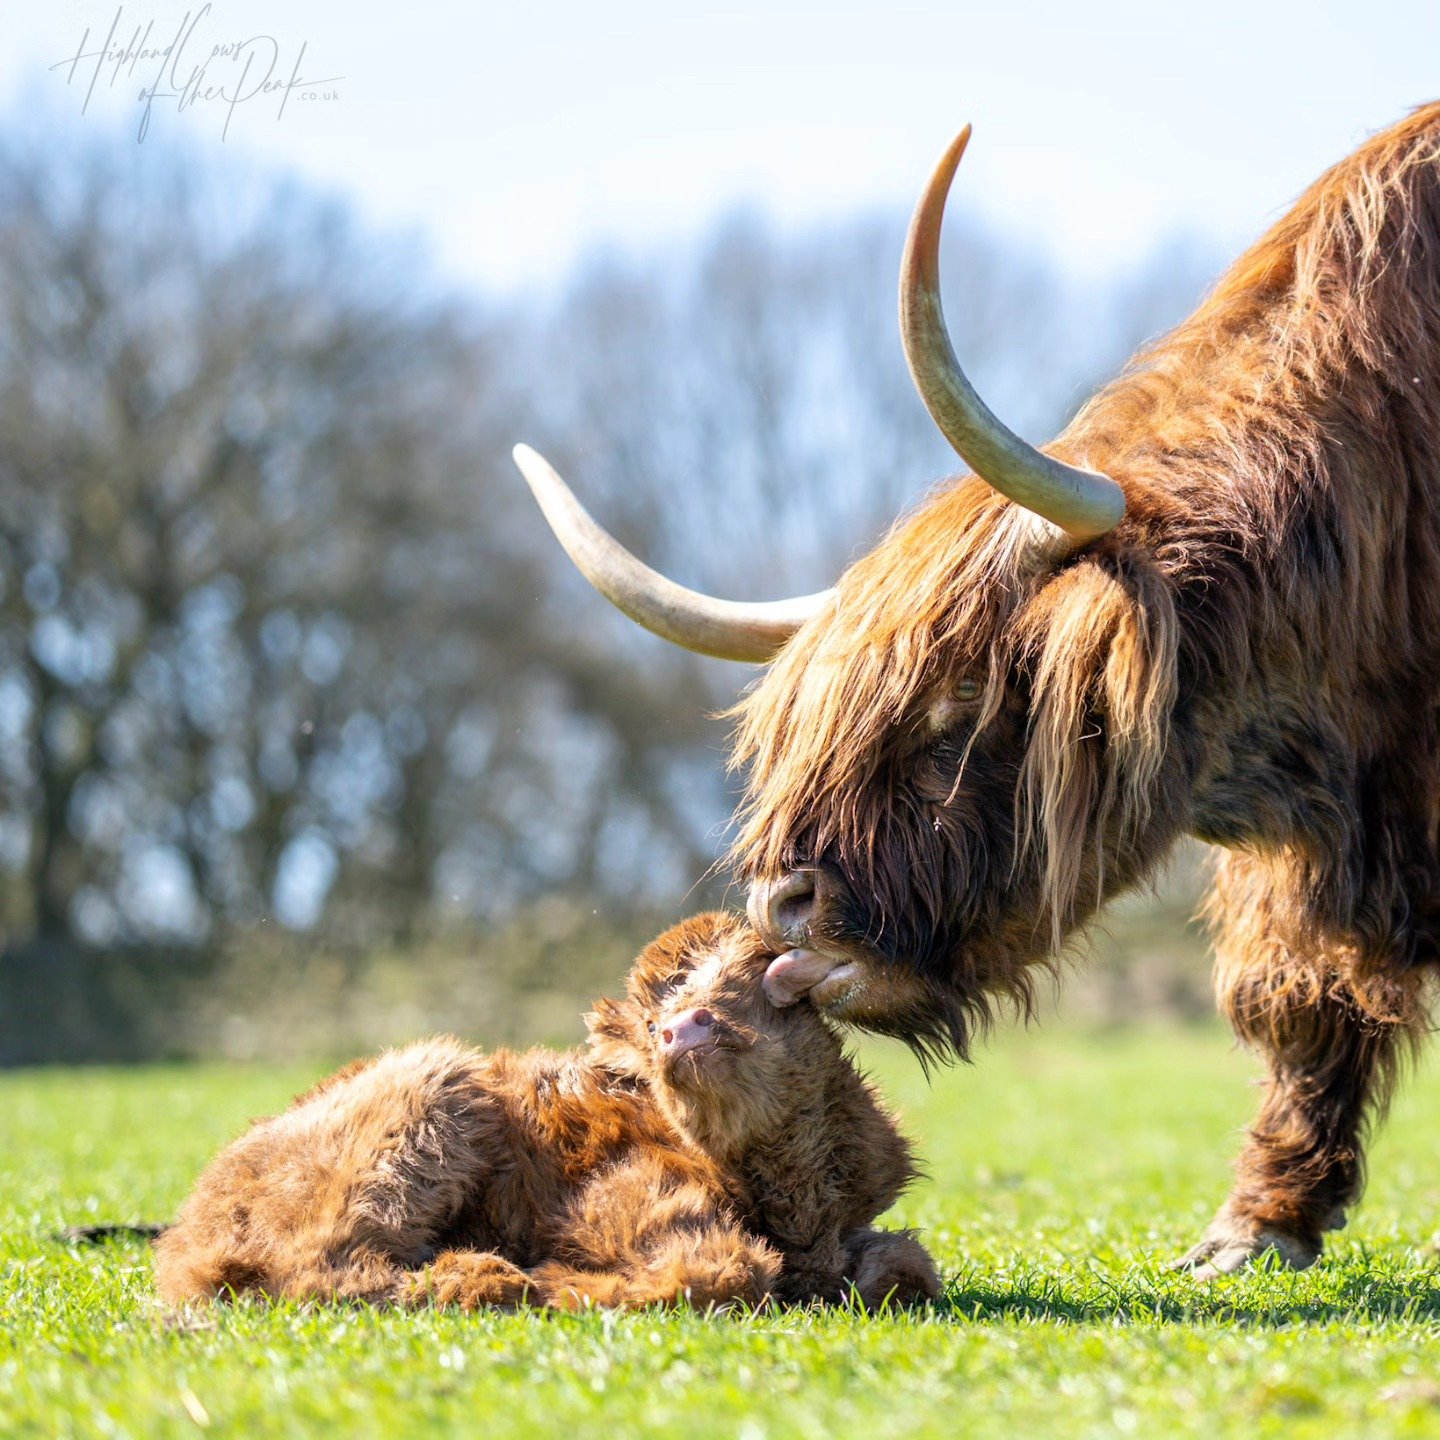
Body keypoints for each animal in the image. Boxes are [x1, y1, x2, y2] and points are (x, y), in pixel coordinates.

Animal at [154, 913, 939, 1310]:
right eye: (654, 1015)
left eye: (762, 982)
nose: (679, 1029)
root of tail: (190, 1225)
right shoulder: (623, 1197)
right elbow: (720, 1269)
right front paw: (562, 1282)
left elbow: (906, 1265)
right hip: (429, 1085)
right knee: (322, 1268)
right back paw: (491, 1279)